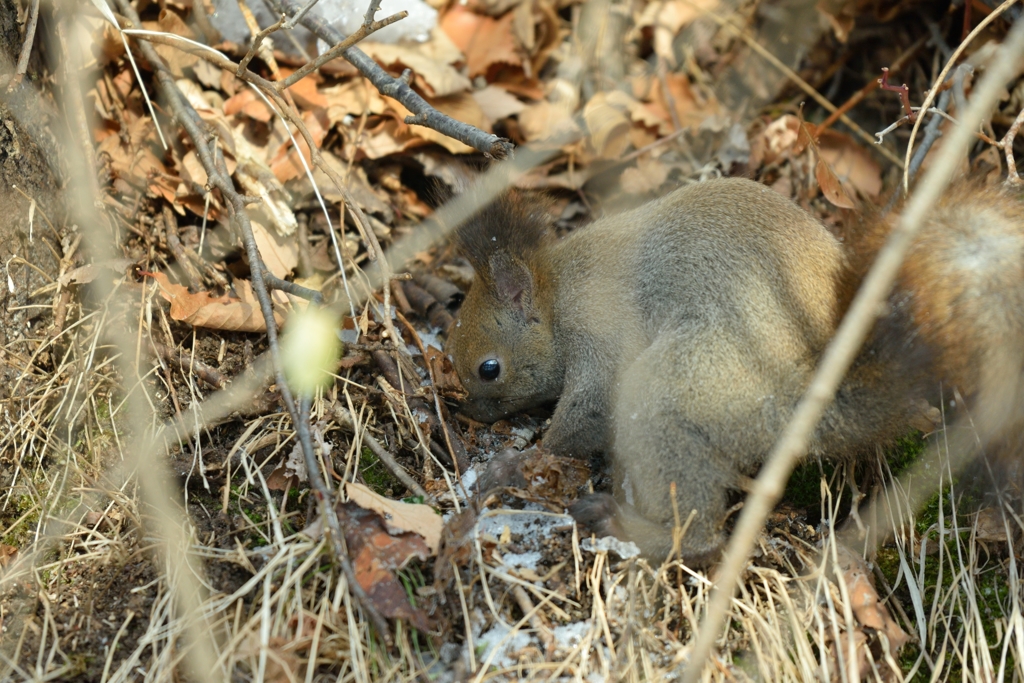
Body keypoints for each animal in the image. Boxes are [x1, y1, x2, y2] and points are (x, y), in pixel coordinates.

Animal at [446, 178, 1024, 565]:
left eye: (489, 369)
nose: (470, 412)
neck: (558, 293)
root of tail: (812, 403)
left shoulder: (602, 338)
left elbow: (581, 419)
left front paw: (515, 464)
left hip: (680, 389)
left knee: (701, 533)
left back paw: (634, 528)